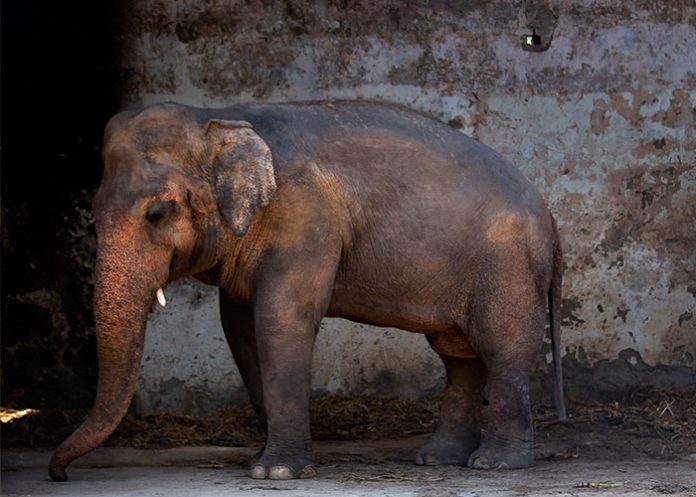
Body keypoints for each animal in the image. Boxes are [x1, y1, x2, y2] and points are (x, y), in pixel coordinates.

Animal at [49, 100, 565, 481]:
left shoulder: (304, 218)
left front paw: (276, 474)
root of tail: (551, 218)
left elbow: (281, 318)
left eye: (157, 213)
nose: (59, 475)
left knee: (502, 347)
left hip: (508, 265)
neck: (218, 117)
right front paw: (262, 462)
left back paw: (494, 464)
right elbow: (239, 327)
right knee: (459, 353)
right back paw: (437, 459)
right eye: (91, 212)